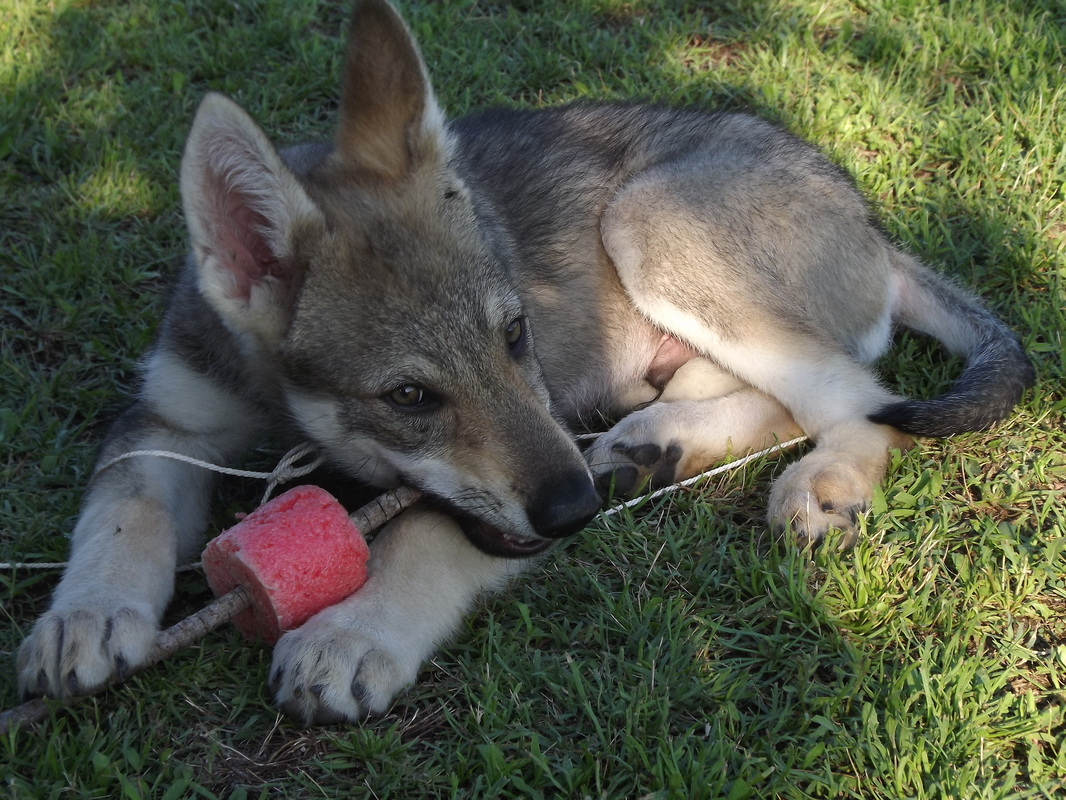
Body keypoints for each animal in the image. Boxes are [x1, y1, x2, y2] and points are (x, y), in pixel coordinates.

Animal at [17, 0, 1033, 725]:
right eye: (409, 395)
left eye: (516, 336)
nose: (575, 513)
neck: (283, 409)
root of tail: (869, 224)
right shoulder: (166, 418)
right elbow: (125, 509)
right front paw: (87, 614)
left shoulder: (506, 462)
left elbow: (423, 536)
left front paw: (352, 633)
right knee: (776, 393)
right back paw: (658, 446)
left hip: (651, 221)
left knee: (862, 397)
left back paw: (819, 482)